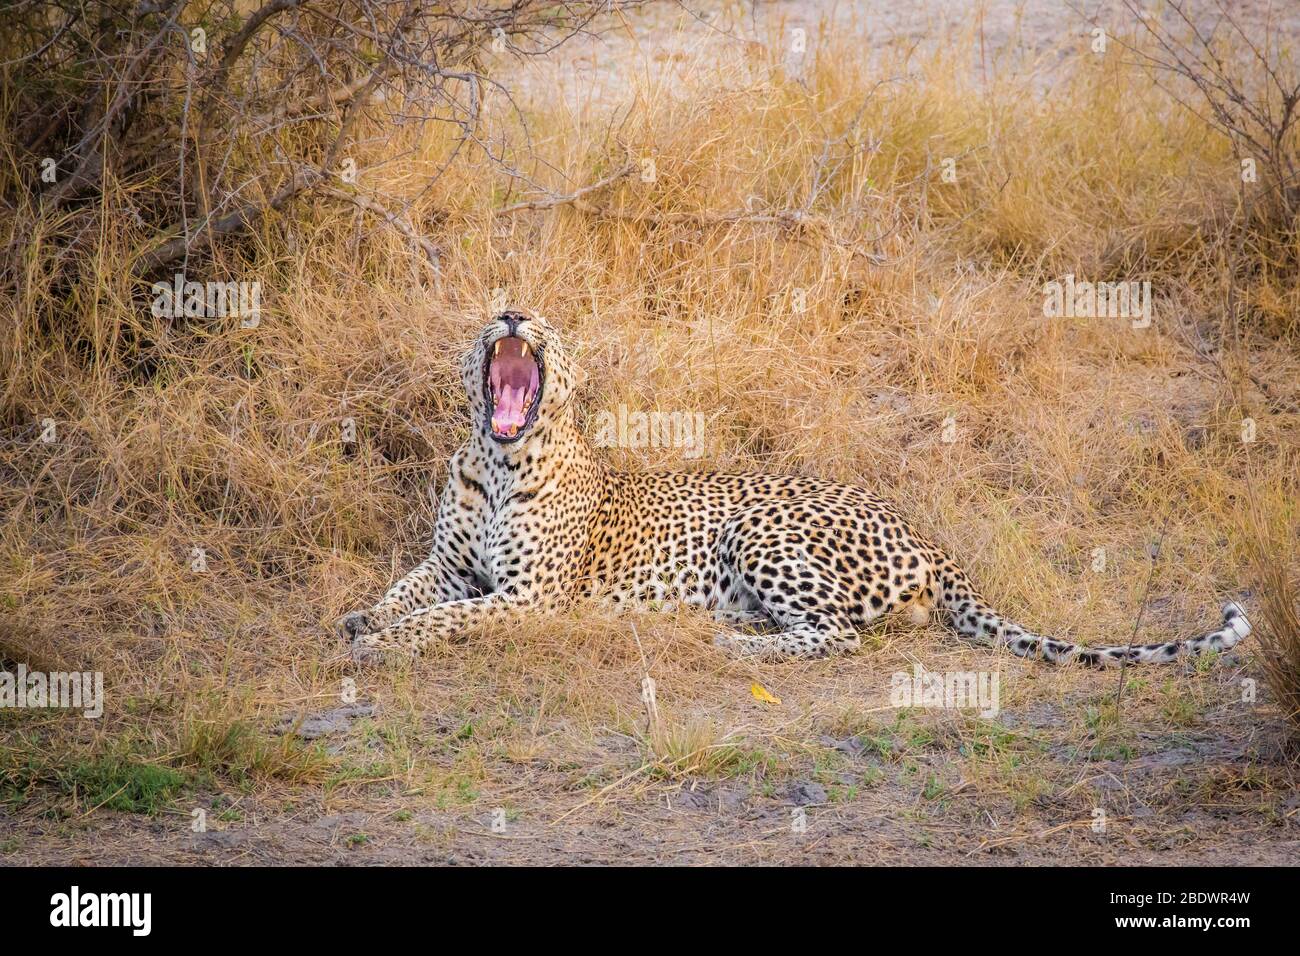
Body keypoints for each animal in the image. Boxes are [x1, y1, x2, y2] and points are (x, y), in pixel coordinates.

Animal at [335, 310, 1248, 671]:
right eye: (495, 313)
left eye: (546, 326)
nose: (514, 314)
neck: (498, 461)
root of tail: (920, 529)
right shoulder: (452, 566)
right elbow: (408, 589)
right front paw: (361, 619)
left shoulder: (527, 596)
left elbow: (445, 618)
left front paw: (384, 643)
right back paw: (726, 629)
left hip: (761, 529)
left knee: (838, 634)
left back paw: (732, 647)